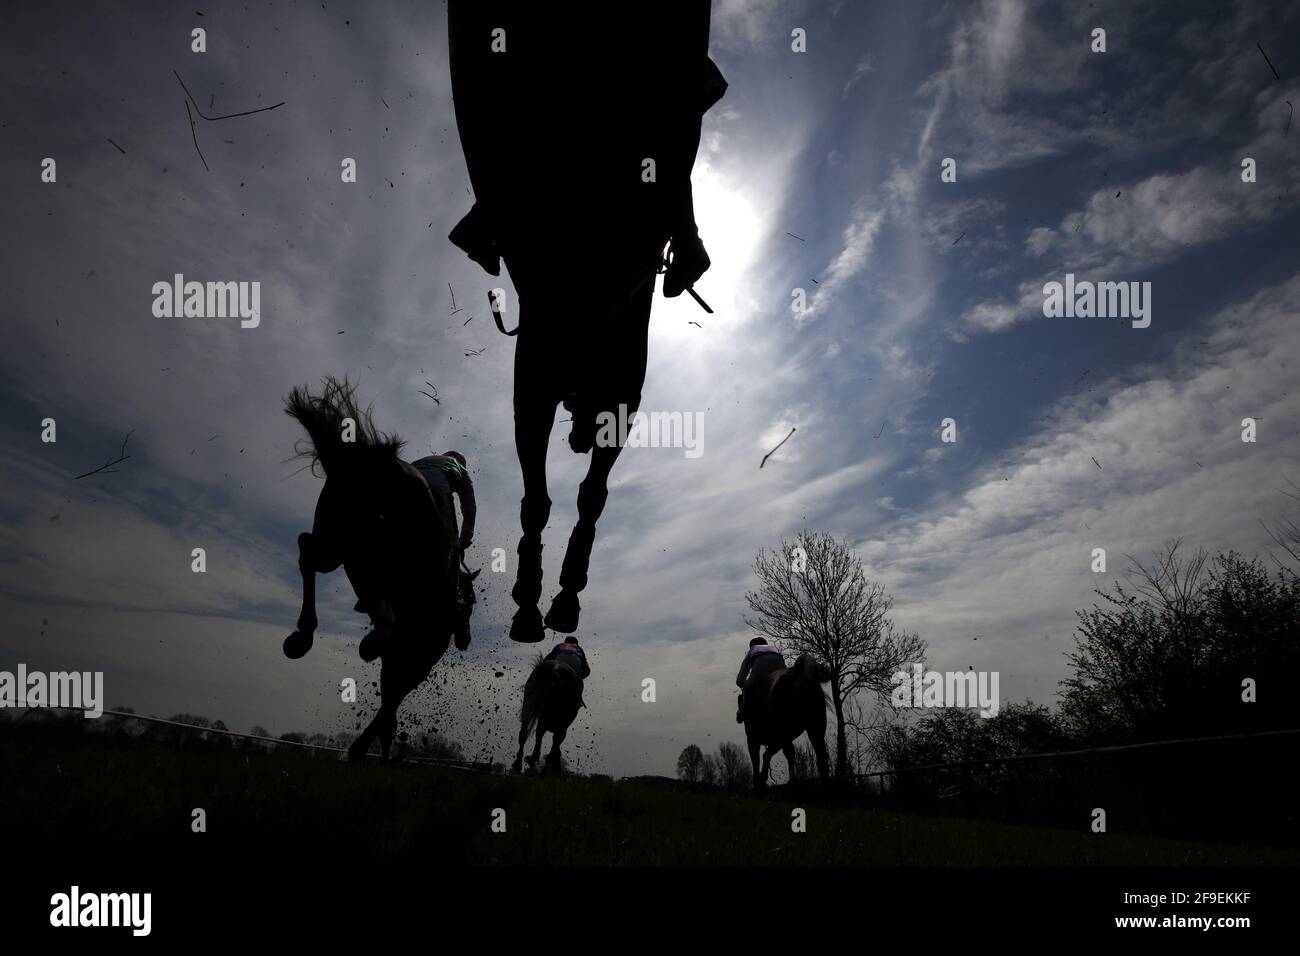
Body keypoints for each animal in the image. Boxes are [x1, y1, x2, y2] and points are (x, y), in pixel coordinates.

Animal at [447, 1, 733, 642]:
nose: (578, 436)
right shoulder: (535, 382)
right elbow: (538, 495)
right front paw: (529, 597)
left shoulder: (619, 397)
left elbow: (591, 495)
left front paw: (566, 591)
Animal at [743, 658, 832, 790]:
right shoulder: (782, 738)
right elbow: (782, 753)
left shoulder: (755, 739)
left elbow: (758, 758)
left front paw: (759, 783)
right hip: (816, 729)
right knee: (822, 759)